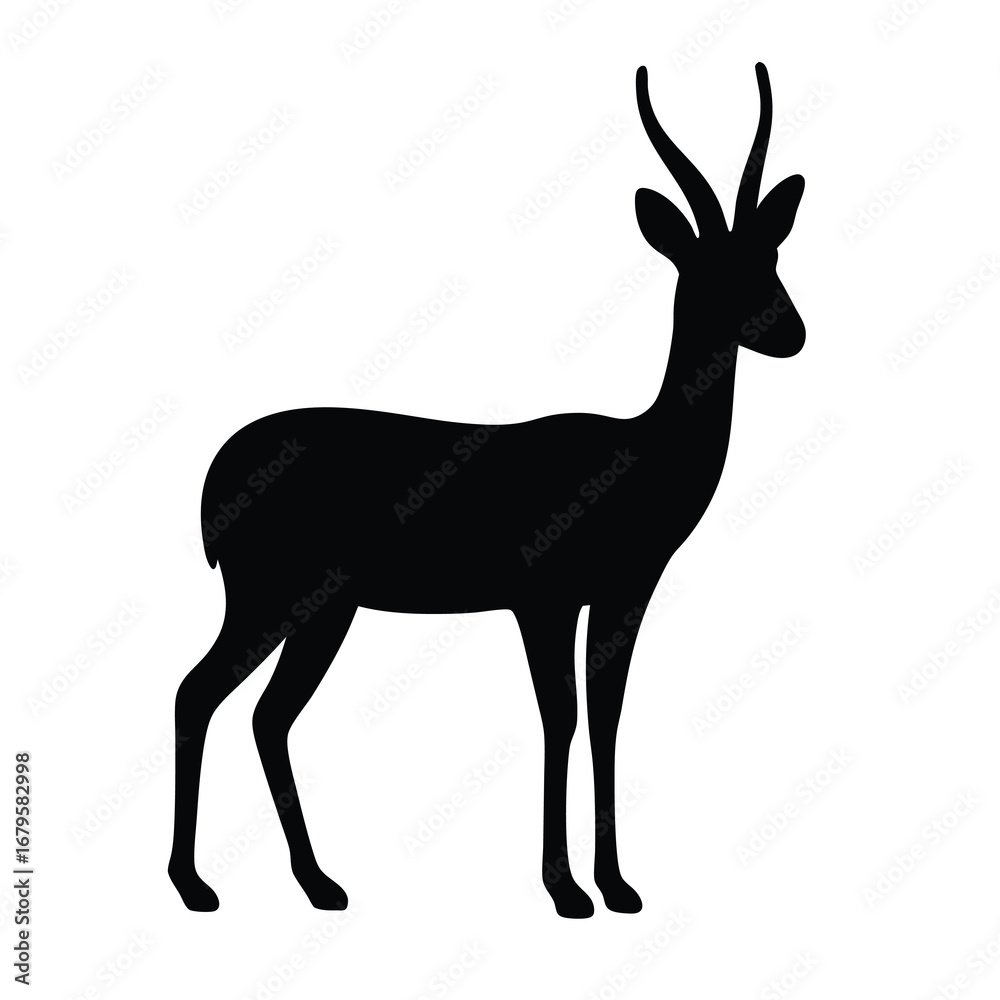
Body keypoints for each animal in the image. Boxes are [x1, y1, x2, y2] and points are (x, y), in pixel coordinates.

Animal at [168, 62, 806, 918]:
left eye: (770, 257)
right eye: (709, 270)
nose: (790, 332)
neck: (639, 453)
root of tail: (216, 476)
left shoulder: (623, 593)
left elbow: (606, 717)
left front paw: (618, 886)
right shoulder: (544, 597)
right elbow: (561, 718)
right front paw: (566, 890)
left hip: (323, 609)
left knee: (267, 716)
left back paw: (319, 883)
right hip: (272, 596)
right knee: (198, 693)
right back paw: (194, 885)